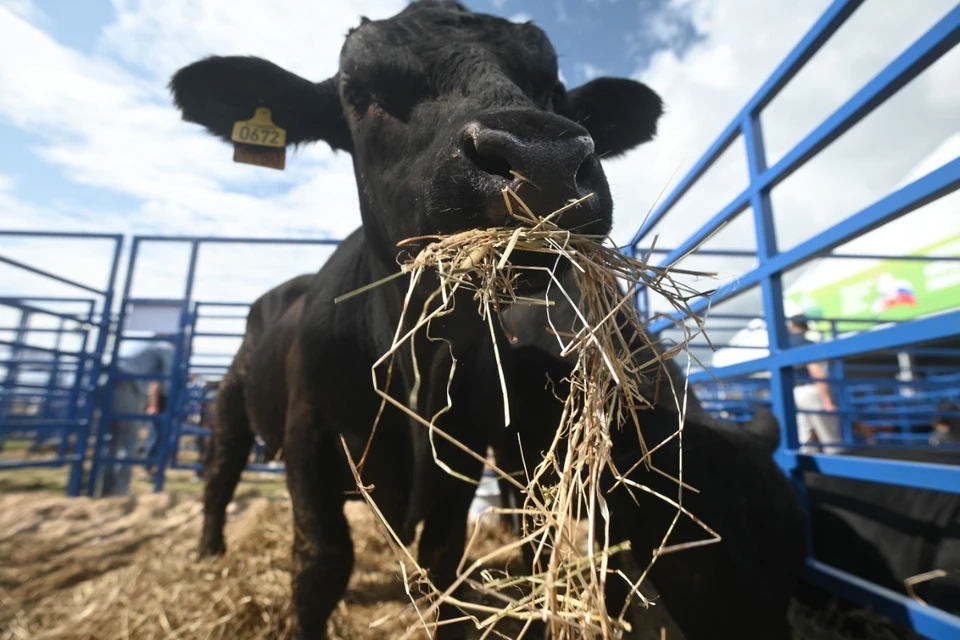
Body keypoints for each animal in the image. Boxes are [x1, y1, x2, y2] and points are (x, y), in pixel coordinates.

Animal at [168, 1, 665, 636]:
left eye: (553, 89)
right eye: (359, 93)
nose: (543, 161)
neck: (418, 360)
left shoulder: (462, 455)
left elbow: (443, 559)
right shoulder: (310, 435)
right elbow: (320, 561)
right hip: (229, 402)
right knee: (219, 472)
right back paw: (209, 551)